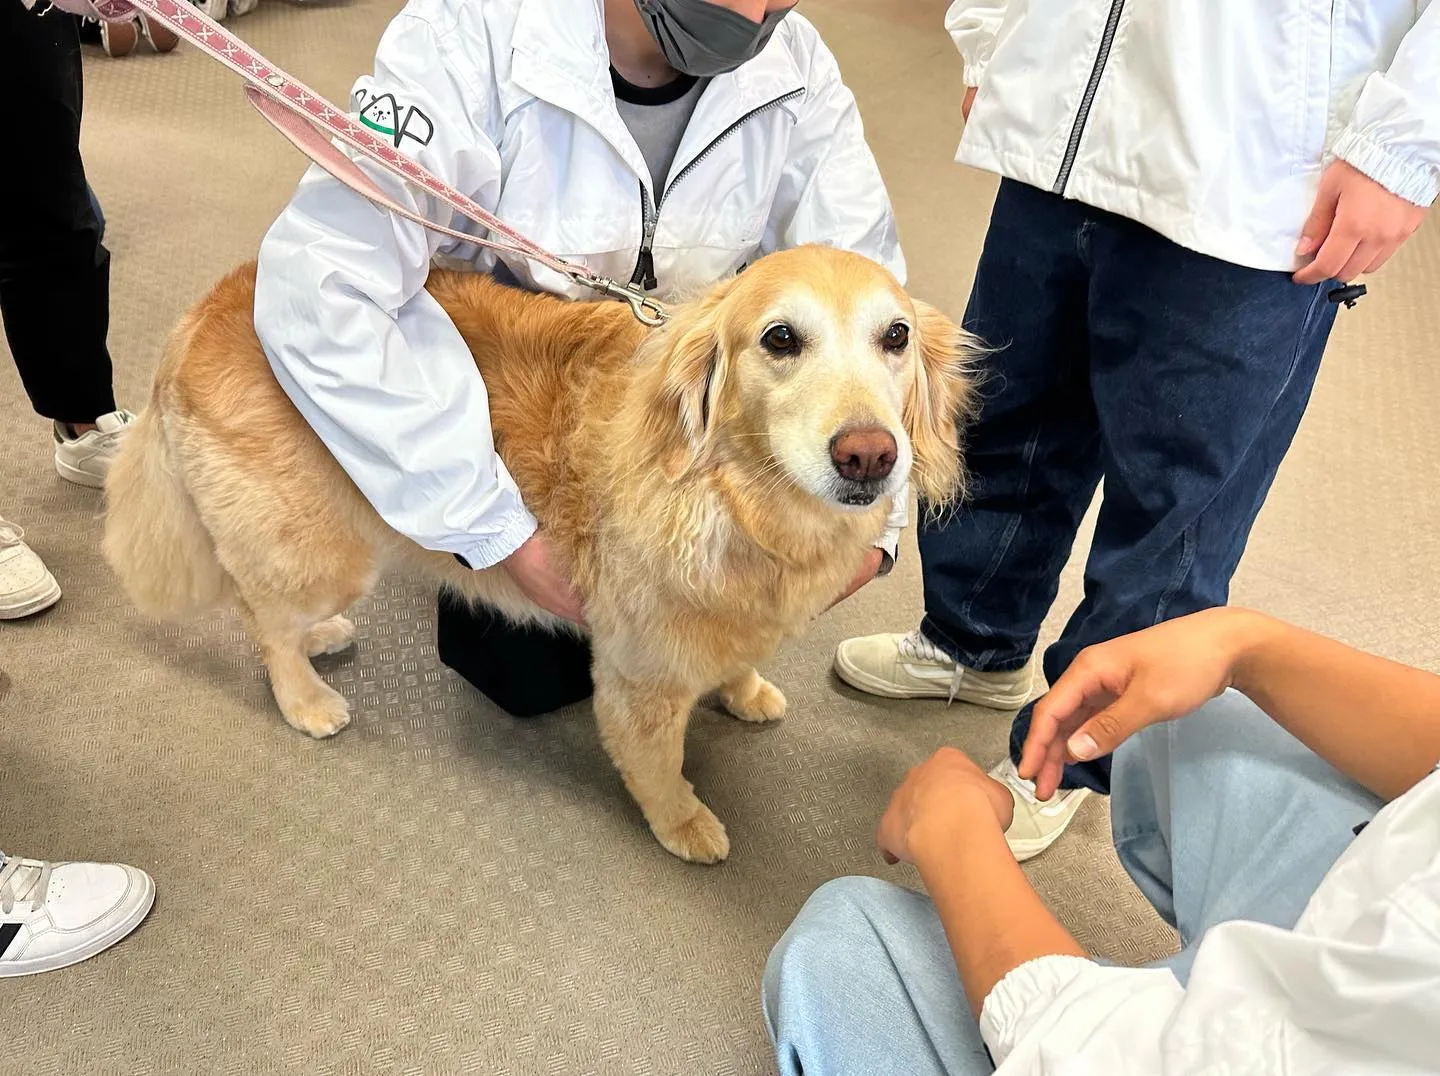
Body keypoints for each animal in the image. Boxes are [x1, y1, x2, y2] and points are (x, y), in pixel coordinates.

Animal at [104, 246, 979, 864]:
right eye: (781, 339)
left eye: (896, 337)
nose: (870, 455)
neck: (739, 499)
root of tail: (208, 305)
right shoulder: (640, 670)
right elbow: (658, 762)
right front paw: (684, 822)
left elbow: (737, 653)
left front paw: (745, 687)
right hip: (324, 541)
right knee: (261, 616)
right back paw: (306, 696)